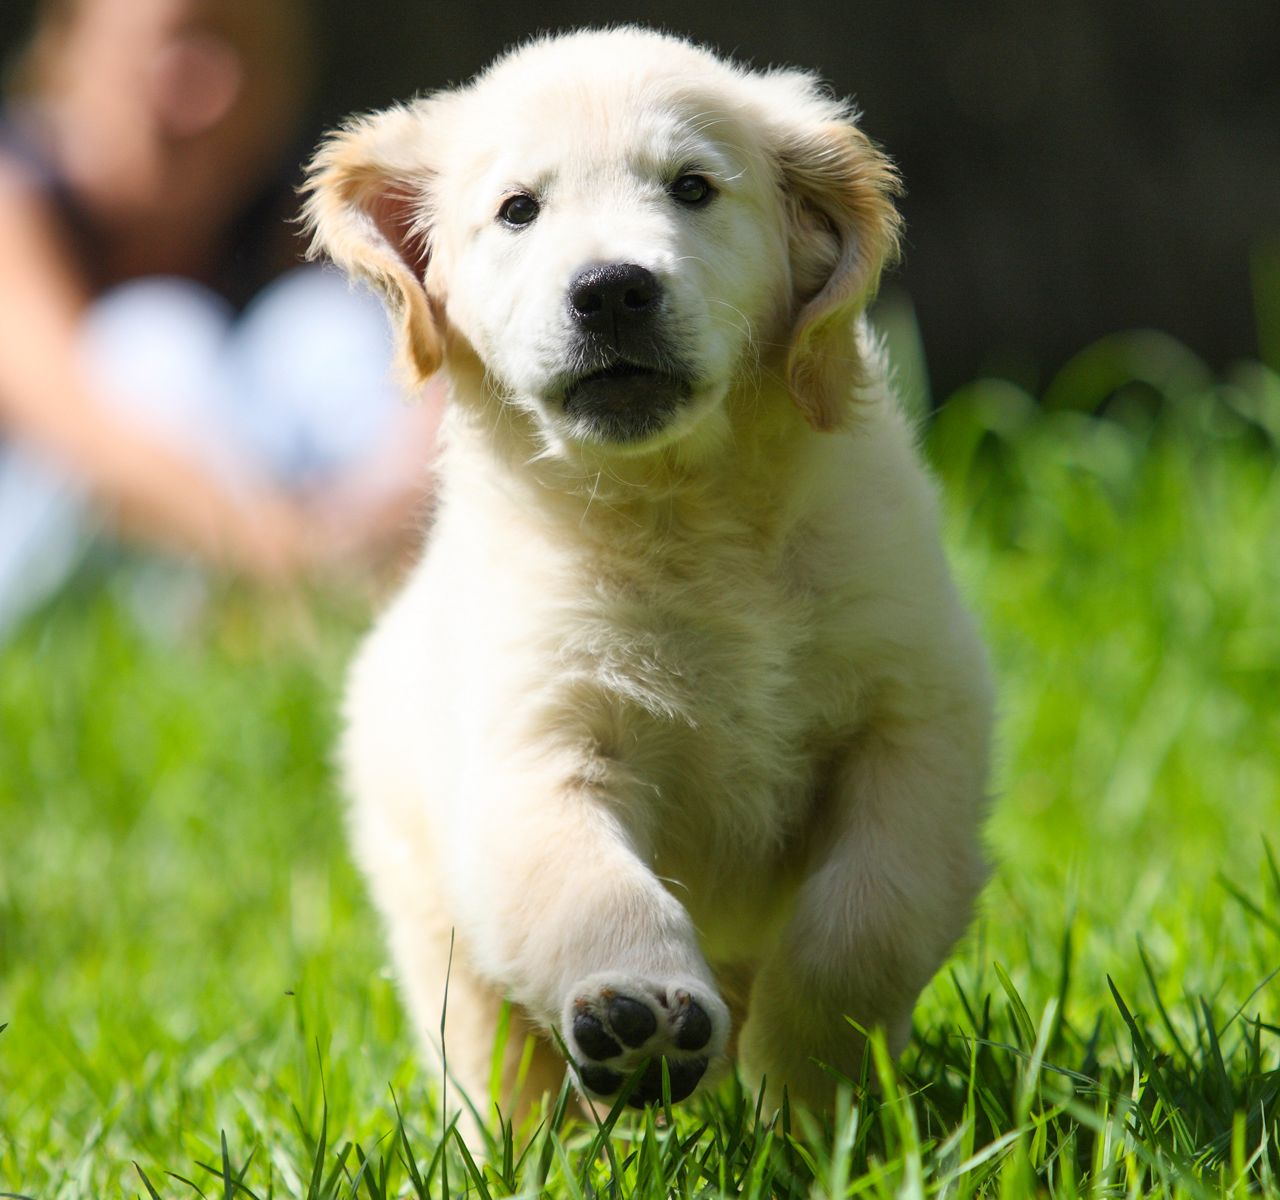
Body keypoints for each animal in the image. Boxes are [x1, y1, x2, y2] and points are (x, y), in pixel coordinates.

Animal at [304, 23, 993, 1115]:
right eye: (518, 209)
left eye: (692, 188)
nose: (612, 289)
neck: (685, 511)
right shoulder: (531, 749)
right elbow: (587, 887)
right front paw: (639, 1014)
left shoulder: (913, 719)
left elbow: (866, 918)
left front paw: (806, 1080)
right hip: (429, 926)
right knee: (494, 1067)